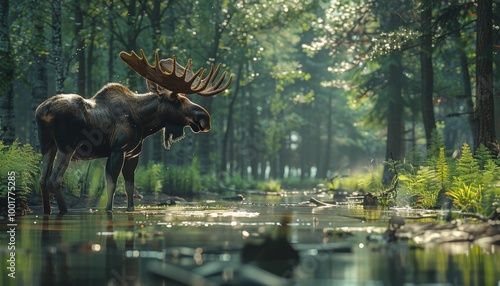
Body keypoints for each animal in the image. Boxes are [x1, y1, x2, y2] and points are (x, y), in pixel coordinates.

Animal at [36, 49, 232, 214]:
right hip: (66, 146)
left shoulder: (133, 153)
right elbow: (112, 185)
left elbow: (130, 187)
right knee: (54, 179)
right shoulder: (118, 149)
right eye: (176, 101)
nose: (204, 117)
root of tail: (43, 111)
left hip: (47, 145)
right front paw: (108, 210)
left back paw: (48, 211)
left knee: (43, 179)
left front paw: (130, 209)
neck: (143, 121)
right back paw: (64, 211)